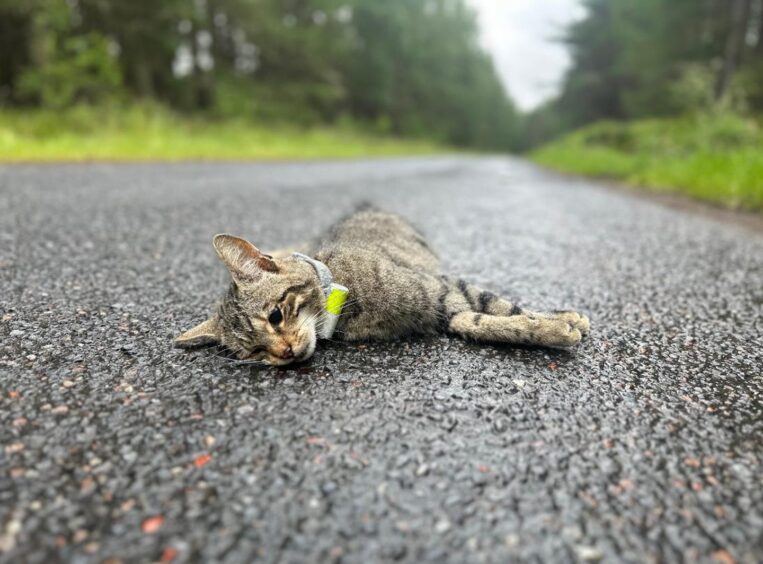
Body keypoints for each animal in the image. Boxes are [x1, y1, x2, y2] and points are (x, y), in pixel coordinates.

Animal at [175, 206, 592, 366]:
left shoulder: (443, 288)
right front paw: (555, 326)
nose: (285, 353)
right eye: (255, 351)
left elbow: (502, 309)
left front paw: (560, 322)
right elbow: (473, 322)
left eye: (276, 316)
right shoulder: (446, 306)